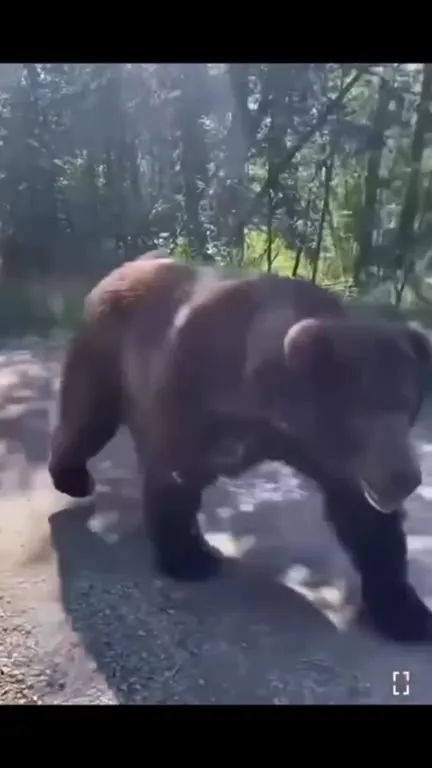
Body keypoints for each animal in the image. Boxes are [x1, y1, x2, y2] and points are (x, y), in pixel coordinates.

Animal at [48, 253, 432, 644]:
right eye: (359, 411)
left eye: (407, 405)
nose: (404, 477)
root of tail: (121, 269)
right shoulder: (195, 387)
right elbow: (173, 471)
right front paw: (188, 559)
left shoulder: (325, 453)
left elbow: (365, 519)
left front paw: (407, 613)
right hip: (106, 353)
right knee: (88, 418)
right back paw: (73, 478)